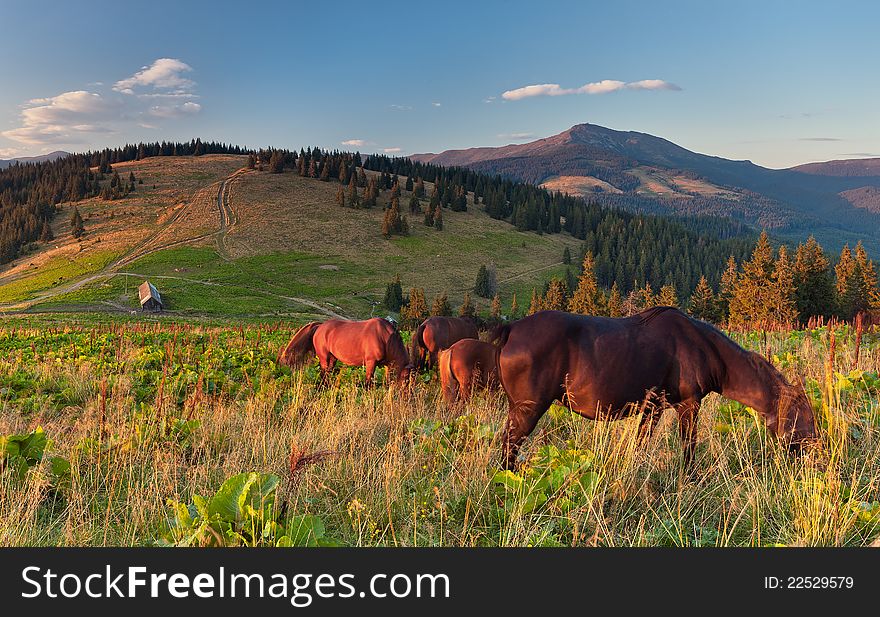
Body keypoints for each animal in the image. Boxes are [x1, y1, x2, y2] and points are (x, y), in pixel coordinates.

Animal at [278, 318, 412, 384]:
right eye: (406, 378)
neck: (384, 337)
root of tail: (320, 327)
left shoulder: (386, 365)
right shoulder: (371, 363)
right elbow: (368, 383)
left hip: (333, 359)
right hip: (324, 357)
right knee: (323, 373)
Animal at [496, 306, 820, 470]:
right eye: (804, 415)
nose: (818, 451)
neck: (706, 348)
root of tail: (511, 329)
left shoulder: (652, 408)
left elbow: (640, 446)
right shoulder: (688, 404)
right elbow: (688, 447)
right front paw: (689, 479)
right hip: (528, 410)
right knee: (508, 449)